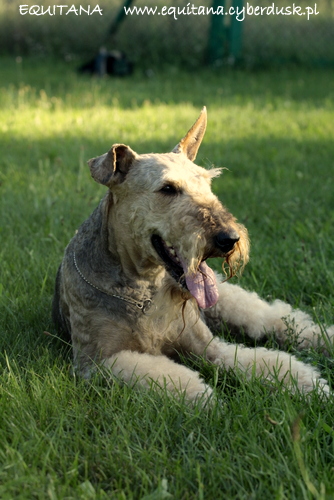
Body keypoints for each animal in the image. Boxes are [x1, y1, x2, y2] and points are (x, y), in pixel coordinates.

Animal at [52, 106, 332, 402]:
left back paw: (325, 339)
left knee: (280, 319)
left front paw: (309, 383)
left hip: (229, 303)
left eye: (207, 183)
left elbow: (256, 359)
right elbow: (174, 378)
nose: (230, 239)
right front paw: (207, 399)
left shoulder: (209, 346)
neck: (145, 292)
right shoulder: (99, 360)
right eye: (167, 188)